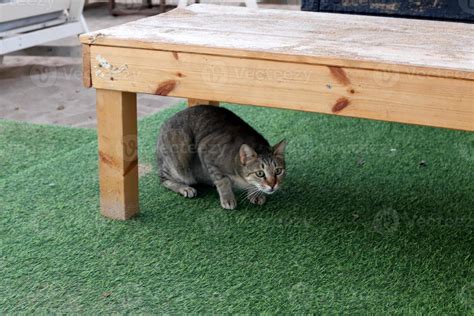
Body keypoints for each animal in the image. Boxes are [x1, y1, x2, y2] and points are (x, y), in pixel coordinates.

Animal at [157, 106, 286, 210]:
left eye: (278, 171)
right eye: (260, 173)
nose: (272, 185)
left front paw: (255, 193)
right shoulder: (206, 153)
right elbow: (223, 181)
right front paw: (227, 198)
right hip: (180, 159)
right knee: (163, 179)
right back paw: (184, 188)